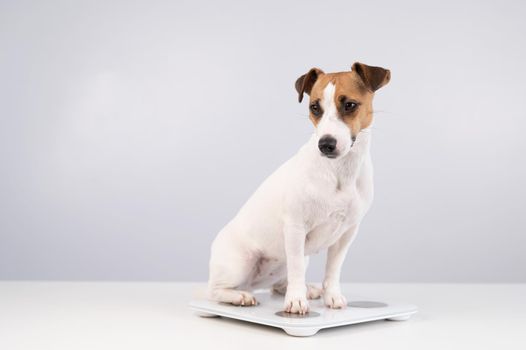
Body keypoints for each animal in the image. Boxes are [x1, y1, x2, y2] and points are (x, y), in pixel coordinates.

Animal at [207, 61, 392, 314]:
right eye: (315, 108)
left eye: (350, 105)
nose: (325, 144)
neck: (338, 171)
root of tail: (254, 284)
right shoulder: (296, 229)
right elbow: (295, 270)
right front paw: (295, 300)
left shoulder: (346, 234)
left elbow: (332, 270)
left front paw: (331, 296)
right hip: (240, 262)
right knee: (215, 291)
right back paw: (240, 296)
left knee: (278, 284)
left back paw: (305, 289)